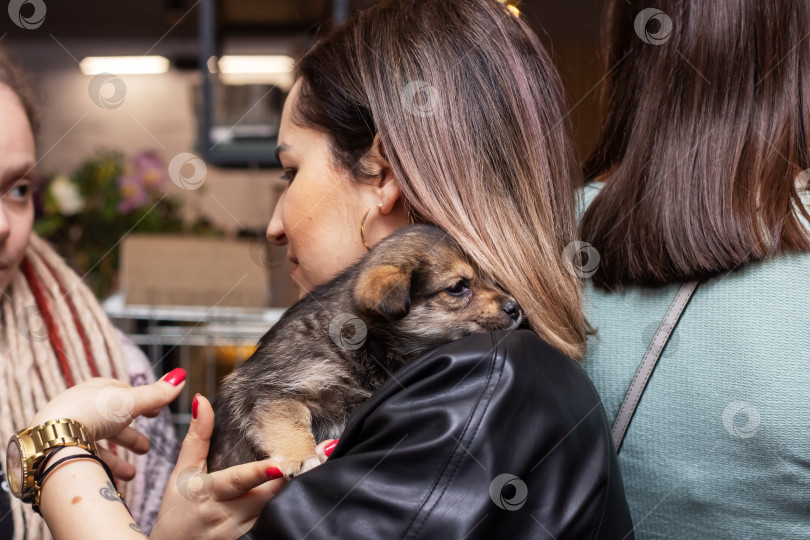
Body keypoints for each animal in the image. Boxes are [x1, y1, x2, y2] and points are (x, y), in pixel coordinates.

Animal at [208, 224, 524, 476]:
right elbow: (292, 421)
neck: (363, 341)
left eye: (492, 280)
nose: (516, 308)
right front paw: (302, 457)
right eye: (458, 287)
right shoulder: (275, 388)